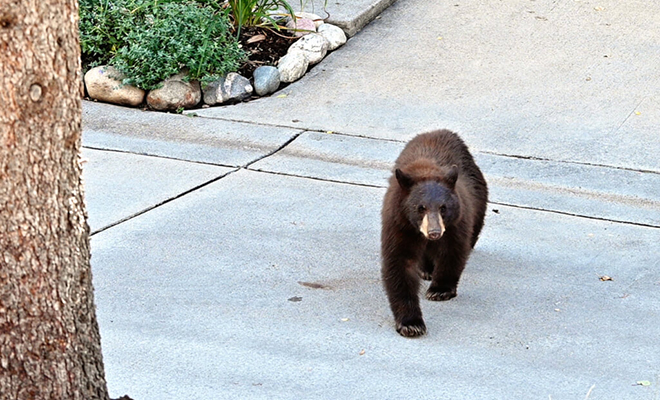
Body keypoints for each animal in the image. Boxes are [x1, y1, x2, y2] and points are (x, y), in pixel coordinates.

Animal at [382, 130, 484, 338]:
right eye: (421, 208)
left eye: (443, 208)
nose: (435, 232)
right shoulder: (399, 225)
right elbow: (399, 264)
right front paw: (411, 323)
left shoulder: (456, 223)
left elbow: (452, 252)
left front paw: (440, 290)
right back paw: (426, 269)